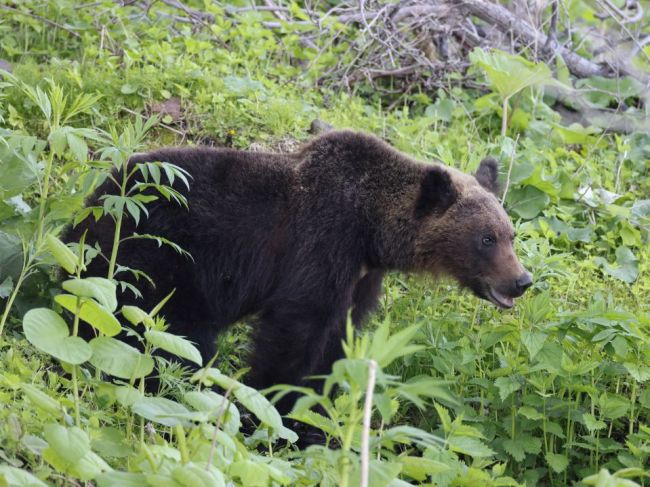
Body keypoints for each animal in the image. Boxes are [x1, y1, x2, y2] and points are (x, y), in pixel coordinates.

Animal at [64, 129, 532, 412]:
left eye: (510, 234)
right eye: (486, 238)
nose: (522, 281)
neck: (371, 232)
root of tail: (95, 200)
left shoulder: (360, 277)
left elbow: (337, 338)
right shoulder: (319, 244)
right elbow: (297, 330)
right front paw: (273, 403)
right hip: (156, 253)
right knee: (157, 329)